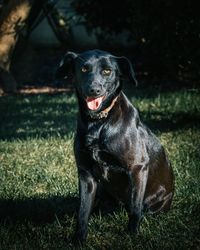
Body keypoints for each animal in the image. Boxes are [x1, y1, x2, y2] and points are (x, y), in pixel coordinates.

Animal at [55, 49, 173, 245]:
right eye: (84, 68)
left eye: (107, 71)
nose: (94, 90)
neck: (99, 122)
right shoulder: (86, 173)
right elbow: (83, 211)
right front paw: (79, 239)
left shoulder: (137, 167)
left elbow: (135, 208)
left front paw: (131, 236)